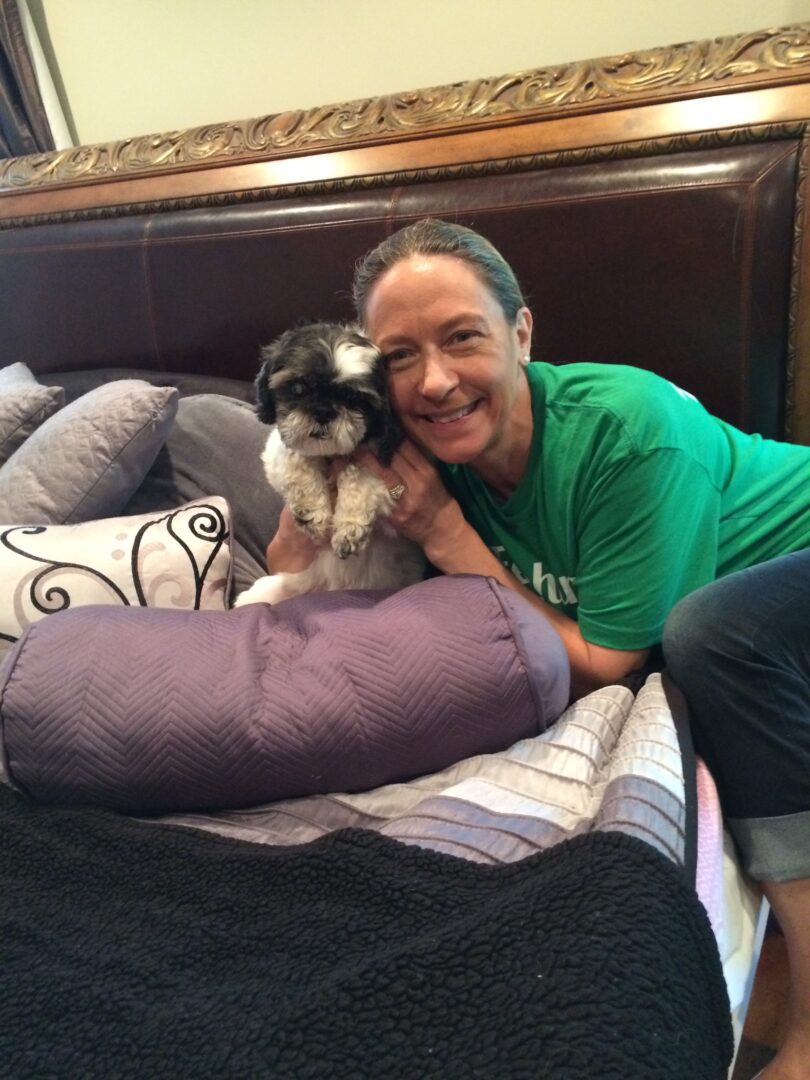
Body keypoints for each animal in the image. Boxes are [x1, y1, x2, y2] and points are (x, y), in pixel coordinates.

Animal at [233, 319, 425, 609]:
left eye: (354, 400)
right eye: (299, 389)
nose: (323, 411)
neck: (330, 455)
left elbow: (359, 472)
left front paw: (349, 527)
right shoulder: (277, 452)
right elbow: (298, 457)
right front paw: (312, 511)